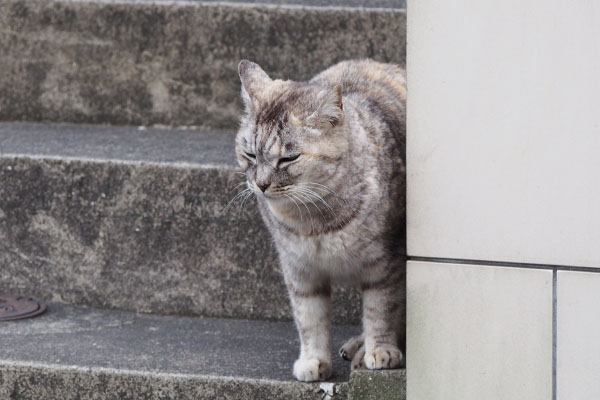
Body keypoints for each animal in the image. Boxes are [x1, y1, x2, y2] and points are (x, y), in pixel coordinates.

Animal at [234, 58, 408, 382]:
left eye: (288, 158)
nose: (261, 184)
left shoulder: (384, 263)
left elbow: (381, 309)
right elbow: (309, 317)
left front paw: (380, 350)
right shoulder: (299, 268)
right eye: (249, 154)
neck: (314, 220)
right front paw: (313, 360)